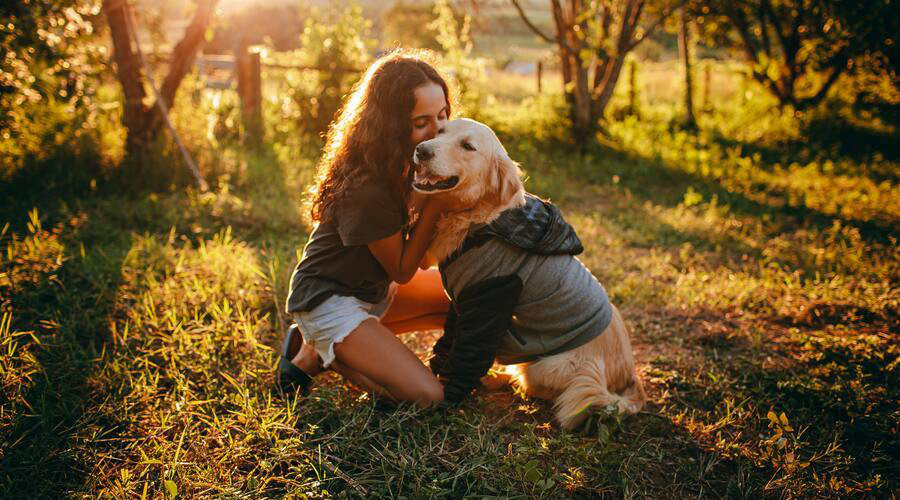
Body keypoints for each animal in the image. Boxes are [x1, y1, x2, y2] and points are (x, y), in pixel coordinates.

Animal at [412, 118, 644, 430]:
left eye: (468, 146)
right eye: (440, 132)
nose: (421, 150)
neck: (481, 222)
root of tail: (629, 376)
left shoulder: (491, 297)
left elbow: (467, 354)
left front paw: (447, 396)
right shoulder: (461, 302)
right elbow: (449, 341)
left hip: (552, 366)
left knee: (537, 386)